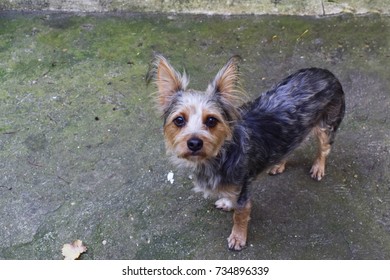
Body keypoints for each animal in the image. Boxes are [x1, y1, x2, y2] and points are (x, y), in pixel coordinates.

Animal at [148, 54, 346, 249]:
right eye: (179, 120)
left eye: (211, 120)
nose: (194, 143)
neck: (220, 154)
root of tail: (326, 72)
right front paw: (227, 202)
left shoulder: (243, 190)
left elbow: (240, 214)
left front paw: (238, 237)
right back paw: (278, 164)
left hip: (327, 126)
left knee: (324, 150)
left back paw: (318, 167)